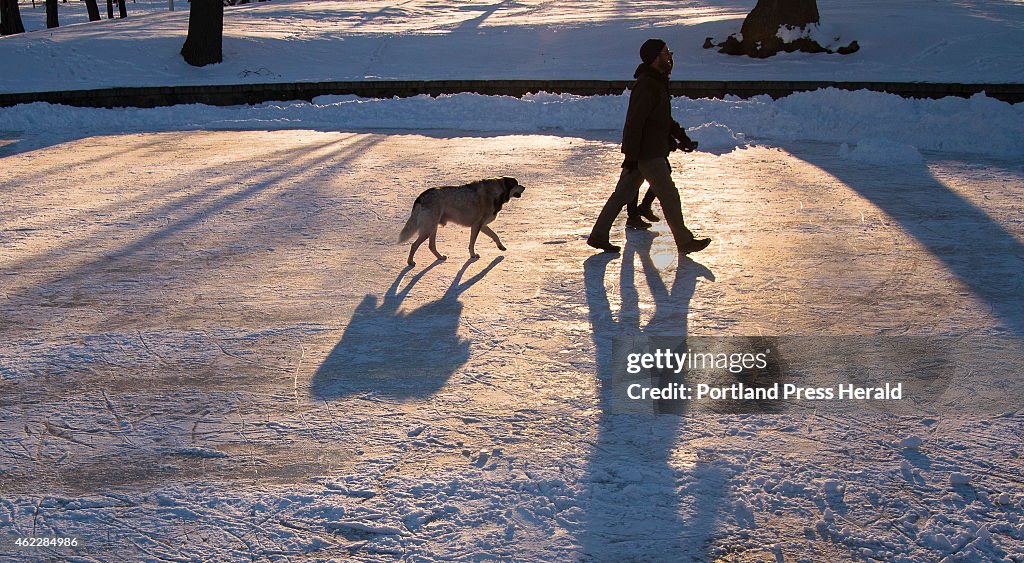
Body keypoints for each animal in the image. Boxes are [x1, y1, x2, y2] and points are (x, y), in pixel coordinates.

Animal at [399, 176, 528, 266]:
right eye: (516, 184)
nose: (525, 187)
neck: (497, 190)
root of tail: (421, 197)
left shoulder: (482, 225)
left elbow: (495, 235)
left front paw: (501, 247)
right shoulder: (476, 225)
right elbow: (472, 243)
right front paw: (473, 255)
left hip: (433, 227)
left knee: (431, 246)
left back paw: (440, 257)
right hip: (428, 228)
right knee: (414, 245)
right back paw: (410, 262)